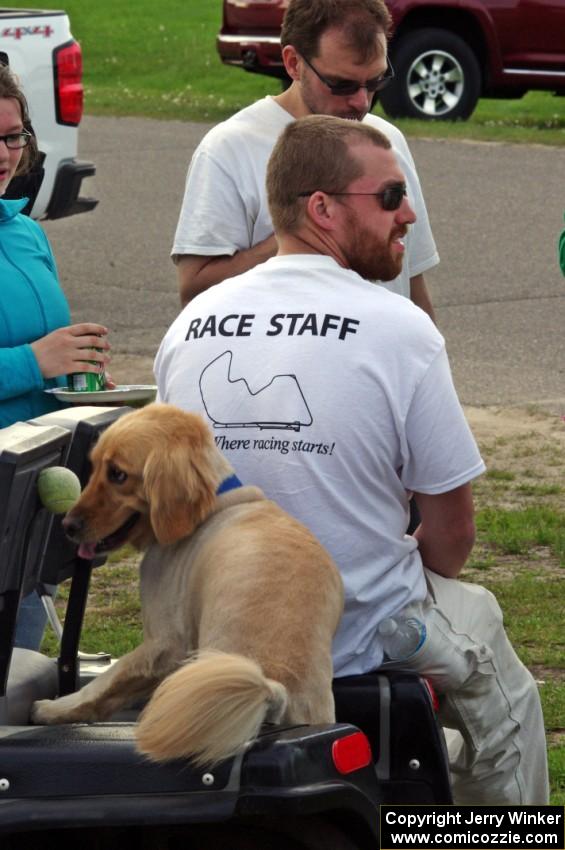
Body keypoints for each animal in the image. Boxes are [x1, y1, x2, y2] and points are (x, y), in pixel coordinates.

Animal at [32, 400, 344, 764]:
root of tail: (274, 685)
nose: (67, 525)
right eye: (93, 467)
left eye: (118, 474)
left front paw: (55, 708)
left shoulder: (164, 642)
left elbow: (107, 680)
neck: (210, 507)